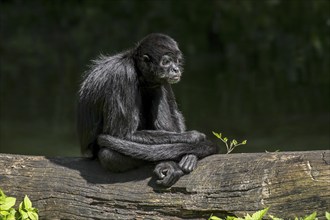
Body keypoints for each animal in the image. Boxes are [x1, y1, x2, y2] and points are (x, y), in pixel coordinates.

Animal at [77, 33, 217, 187]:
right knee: (108, 155)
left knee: (157, 88)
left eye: (176, 61)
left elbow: (175, 112)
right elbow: (122, 135)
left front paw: (191, 154)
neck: (137, 71)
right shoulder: (123, 75)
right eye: (166, 62)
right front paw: (192, 136)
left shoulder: (162, 79)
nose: (176, 69)